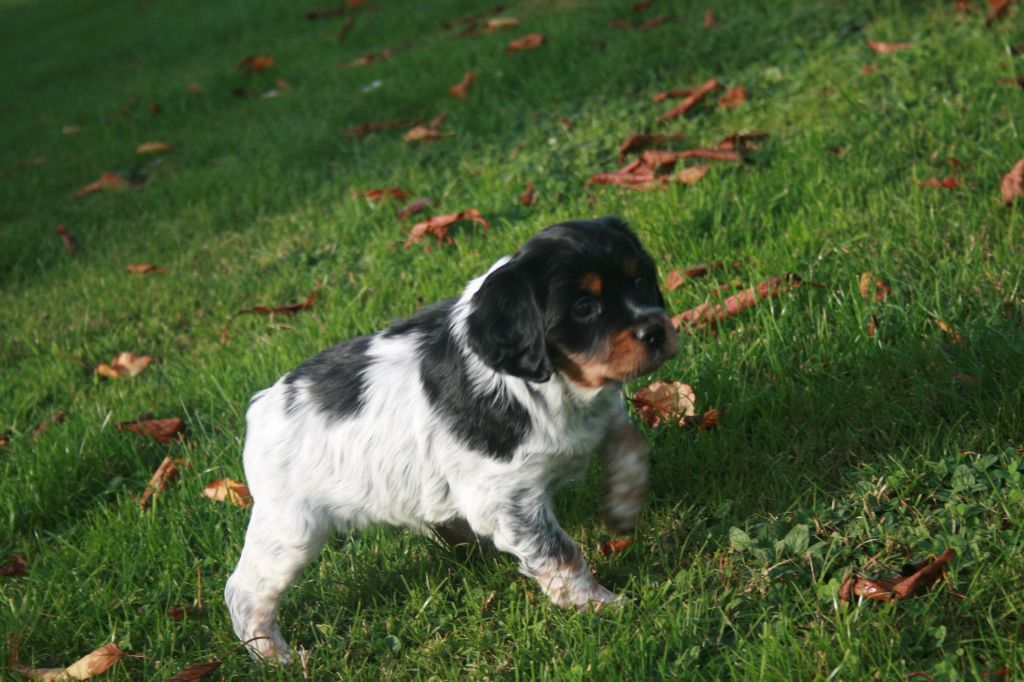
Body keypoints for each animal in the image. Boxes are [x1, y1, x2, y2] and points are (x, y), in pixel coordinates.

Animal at [225, 216, 679, 662]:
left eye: (641, 279)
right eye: (584, 307)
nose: (657, 331)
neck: (556, 383)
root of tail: (261, 406)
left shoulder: (593, 421)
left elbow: (627, 441)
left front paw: (623, 506)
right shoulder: (508, 498)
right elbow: (559, 551)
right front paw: (601, 604)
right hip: (291, 530)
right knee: (243, 591)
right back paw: (276, 657)